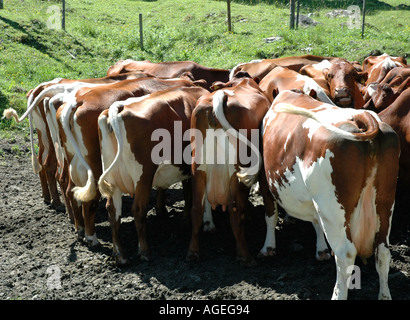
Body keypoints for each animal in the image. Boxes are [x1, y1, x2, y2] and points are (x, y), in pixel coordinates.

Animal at [97, 85, 208, 264]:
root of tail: (119, 107)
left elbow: (187, 192)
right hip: (143, 175)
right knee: (138, 209)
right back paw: (144, 251)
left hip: (113, 180)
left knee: (113, 211)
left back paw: (120, 255)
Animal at [187, 74, 272, 264]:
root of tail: (218, 98)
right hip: (235, 171)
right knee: (235, 211)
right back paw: (245, 256)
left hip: (198, 169)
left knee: (196, 210)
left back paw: (193, 252)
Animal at [262, 89, 398, 298]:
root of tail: (361, 116)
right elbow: (316, 222)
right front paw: (321, 250)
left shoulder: (264, 180)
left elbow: (270, 215)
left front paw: (268, 248)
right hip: (385, 202)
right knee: (382, 251)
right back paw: (384, 295)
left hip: (333, 207)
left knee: (346, 254)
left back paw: (338, 294)